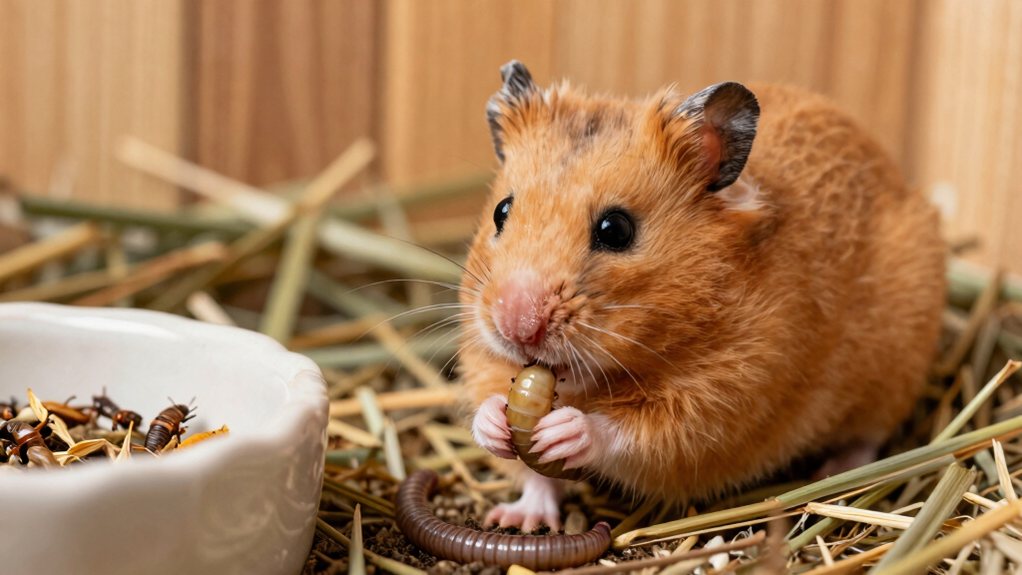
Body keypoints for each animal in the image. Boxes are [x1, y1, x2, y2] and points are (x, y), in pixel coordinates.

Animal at [459, 61, 945, 532]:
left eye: (616, 230)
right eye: (502, 211)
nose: (517, 327)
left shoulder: (724, 398)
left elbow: (634, 433)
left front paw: (564, 431)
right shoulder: (482, 356)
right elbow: (520, 454)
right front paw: (496, 428)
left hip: (892, 371)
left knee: (870, 437)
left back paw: (834, 469)